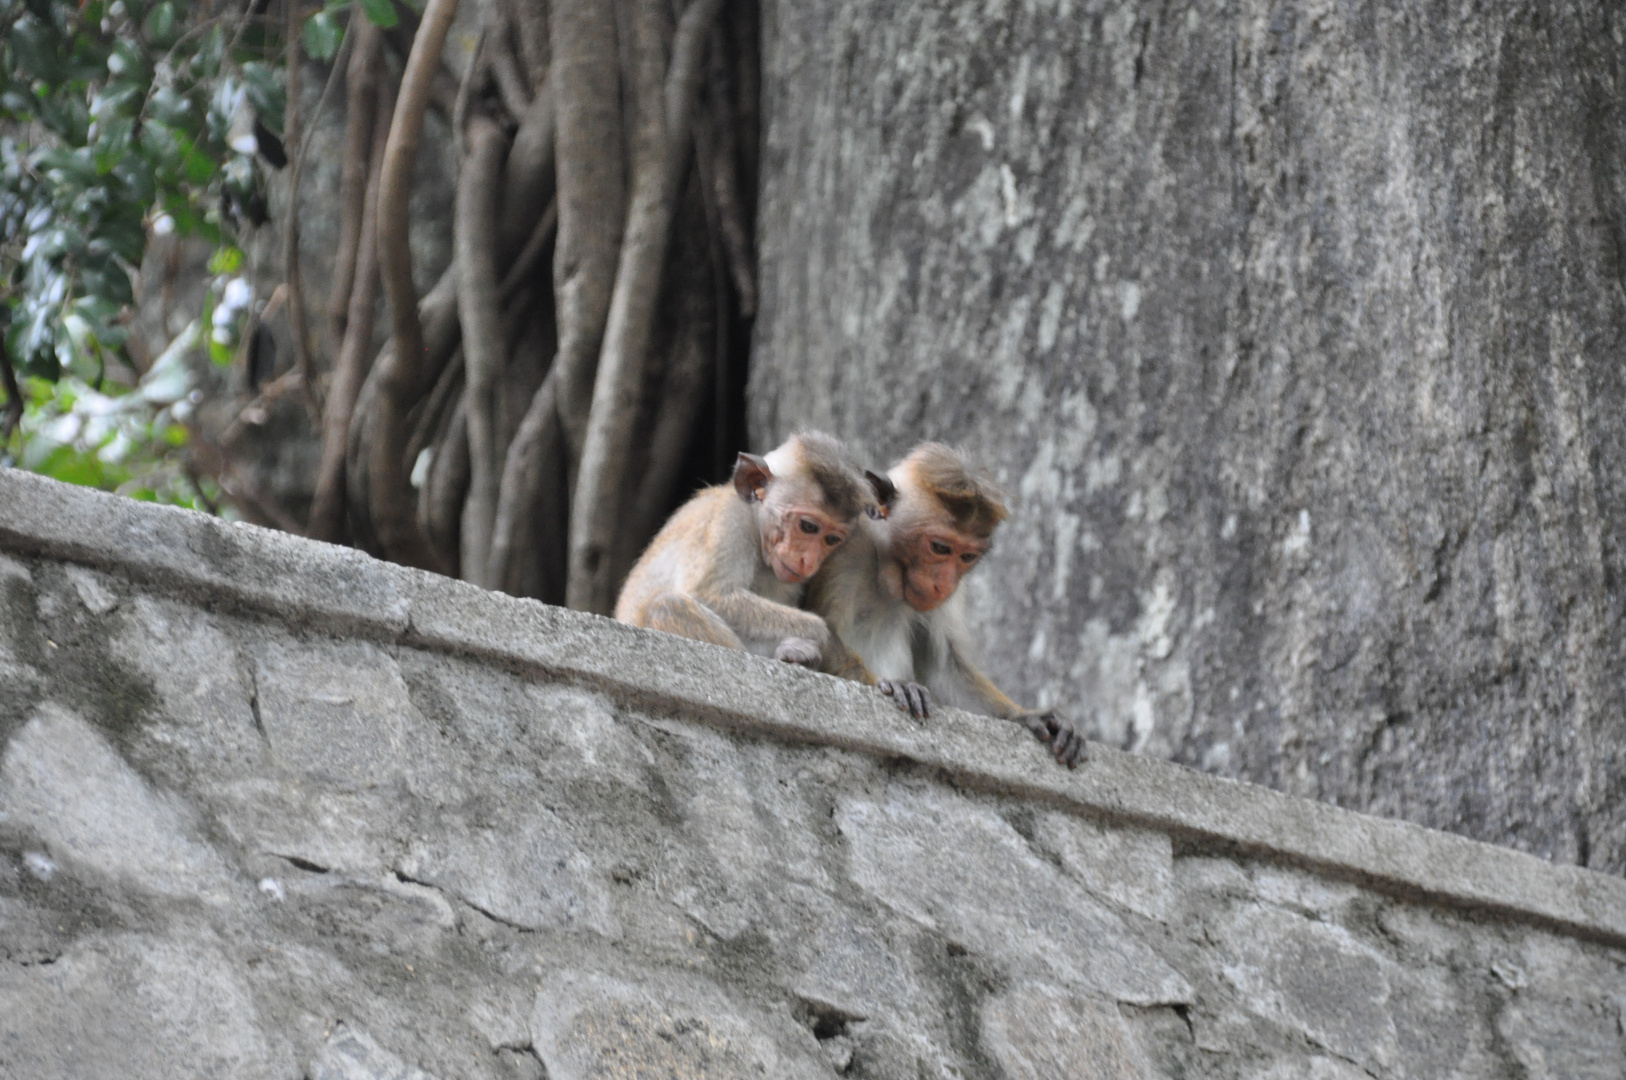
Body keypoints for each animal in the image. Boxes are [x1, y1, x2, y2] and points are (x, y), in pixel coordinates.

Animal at [614, 429, 891, 666]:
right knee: (666, 606)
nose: (809, 561)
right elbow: (709, 593)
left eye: (832, 540)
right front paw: (820, 634)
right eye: (808, 526)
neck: (756, 529)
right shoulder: (729, 521)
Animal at [806, 442, 1086, 767]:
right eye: (940, 547)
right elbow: (824, 631)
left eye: (966, 557)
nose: (944, 583)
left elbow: (942, 668)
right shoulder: (848, 550)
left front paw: (1027, 716)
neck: (884, 564)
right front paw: (891, 685)